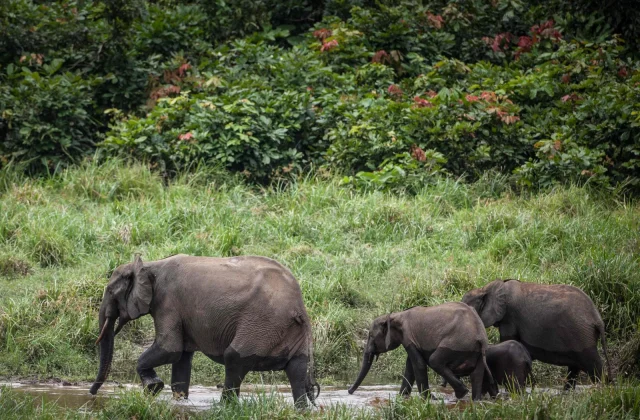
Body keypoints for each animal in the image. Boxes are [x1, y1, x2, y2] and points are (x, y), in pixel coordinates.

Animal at [89, 254, 319, 408]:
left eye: (110, 291)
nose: (92, 393)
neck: (148, 265)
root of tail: (298, 307)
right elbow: (181, 358)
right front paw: (179, 402)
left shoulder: (168, 302)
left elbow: (169, 349)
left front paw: (153, 387)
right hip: (286, 329)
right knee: (297, 369)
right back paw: (302, 410)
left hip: (262, 323)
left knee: (234, 358)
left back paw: (224, 407)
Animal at [348, 303, 494, 401]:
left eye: (371, 336)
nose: (349, 391)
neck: (395, 315)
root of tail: (480, 336)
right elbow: (410, 368)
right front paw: (401, 398)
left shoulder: (408, 336)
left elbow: (418, 365)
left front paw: (429, 399)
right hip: (477, 351)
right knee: (477, 373)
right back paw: (475, 400)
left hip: (457, 343)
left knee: (435, 361)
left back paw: (461, 394)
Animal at [462, 279, 612, 390]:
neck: (485, 289)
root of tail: (597, 319)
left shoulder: (509, 318)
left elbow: (508, 339)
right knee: (575, 369)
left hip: (581, 335)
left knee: (593, 366)